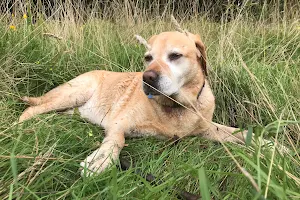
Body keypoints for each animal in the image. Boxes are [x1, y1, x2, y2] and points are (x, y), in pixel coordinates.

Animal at [19, 30, 247, 176]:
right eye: (148, 57)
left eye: (175, 55)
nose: (147, 78)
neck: (177, 106)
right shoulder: (118, 123)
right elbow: (117, 141)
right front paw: (100, 159)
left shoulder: (208, 128)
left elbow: (237, 132)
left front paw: (256, 142)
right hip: (76, 93)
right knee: (31, 109)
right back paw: (19, 127)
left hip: (72, 108)